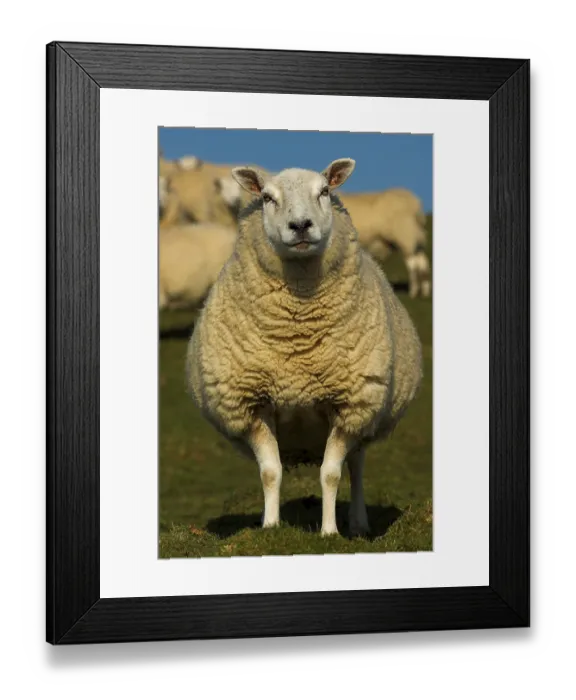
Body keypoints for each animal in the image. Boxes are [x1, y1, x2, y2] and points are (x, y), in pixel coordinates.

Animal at [186, 159, 423, 537]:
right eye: (267, 198)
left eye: (324, 191)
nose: (300, 226)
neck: (296, 338)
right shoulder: (253, 404)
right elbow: (270, 472)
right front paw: (270, 527)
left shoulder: (349, 405)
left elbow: (331, 474)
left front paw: (329, 532)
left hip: (365, 419)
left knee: (356, 468)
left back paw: (358, 523)